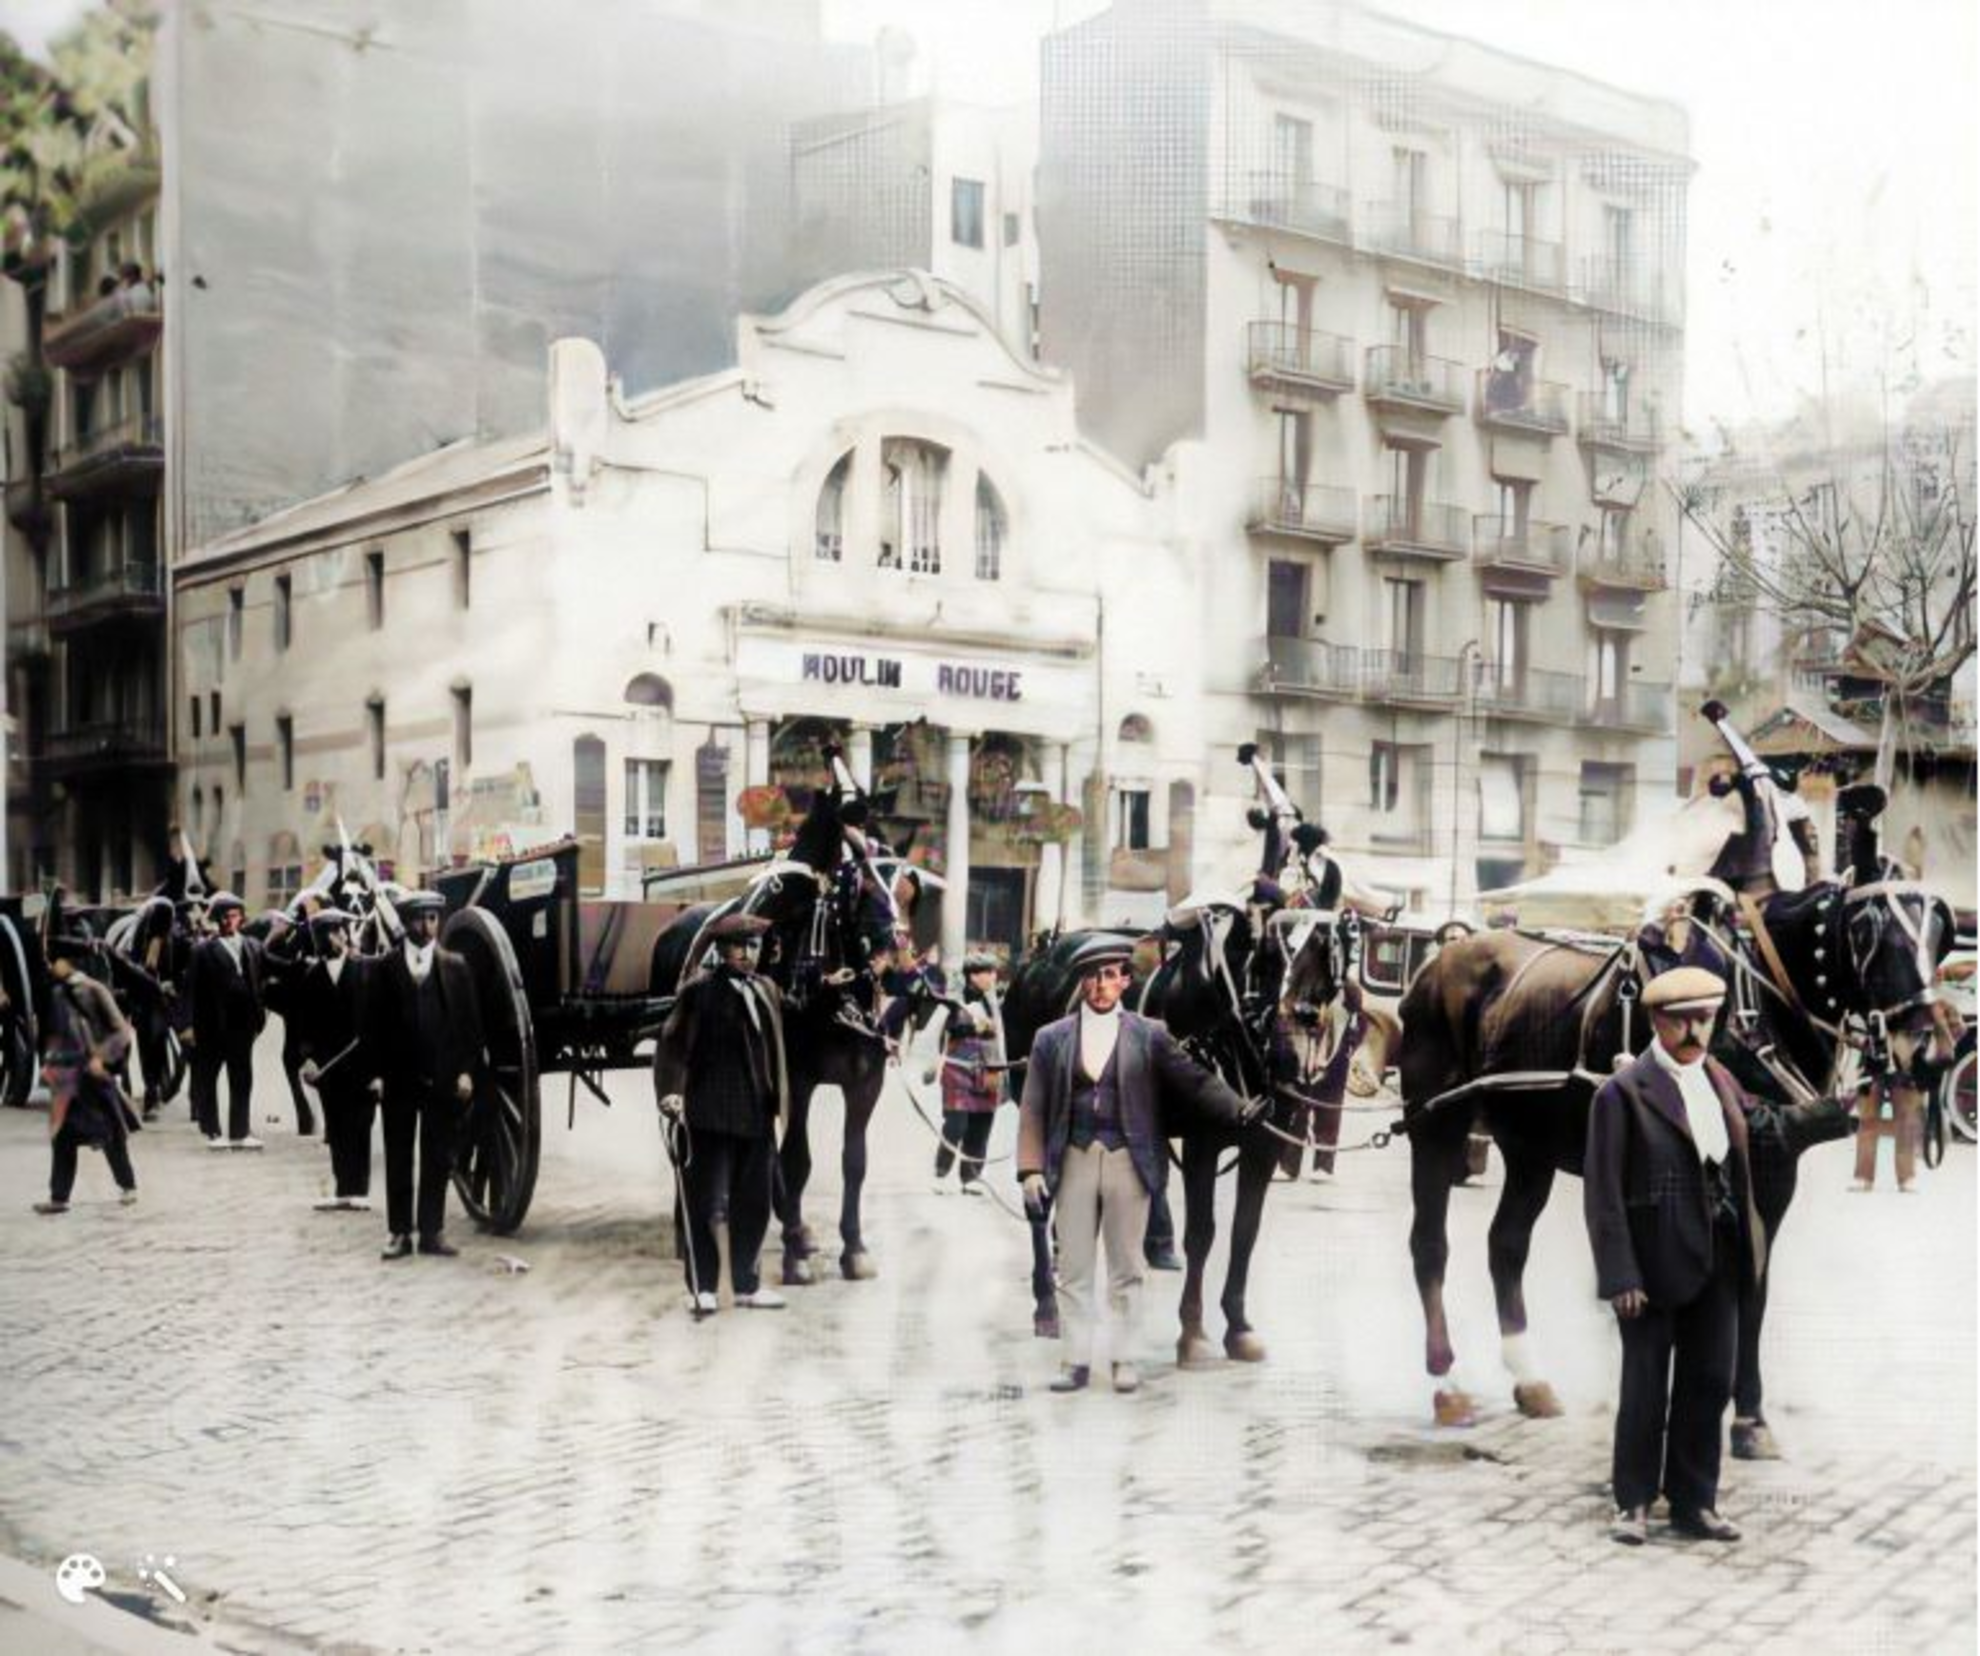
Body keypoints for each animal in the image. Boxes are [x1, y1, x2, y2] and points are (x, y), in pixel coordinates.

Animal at [1401, 867, 1956, 1434]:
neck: (1748, 1002)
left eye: (1940, 936)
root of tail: (1438, 959)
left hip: (1530, 1144)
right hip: (1436, 1126)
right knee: (1430, 1245)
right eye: (1870, 934)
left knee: (1507, 1246)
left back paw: (1530, 1379)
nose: (1933, 1051)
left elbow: (1751, 1284)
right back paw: (1446, 1386)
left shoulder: (1773, 1172)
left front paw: (1742, 1410)